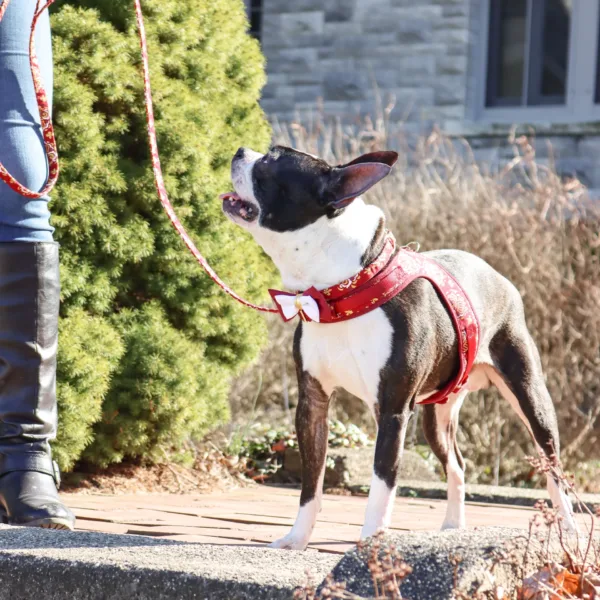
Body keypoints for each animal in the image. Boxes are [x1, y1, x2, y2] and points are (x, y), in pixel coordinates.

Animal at [221, 144, 576, 548]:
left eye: (272, 160)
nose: (240, 150)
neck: (341, 292)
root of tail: (497, 274)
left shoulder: (392, 410)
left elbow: (381, 483)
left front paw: (371, 543)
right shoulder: (312, 403)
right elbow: (311, 484)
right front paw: (297, 538)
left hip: (529, 395)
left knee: (552, 465)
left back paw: (570, 528)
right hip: (436, 418)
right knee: (457, 463)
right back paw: (453, 526)